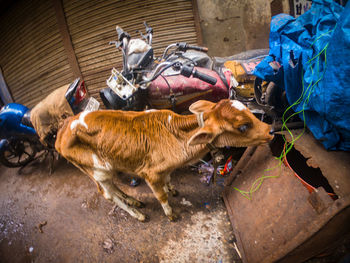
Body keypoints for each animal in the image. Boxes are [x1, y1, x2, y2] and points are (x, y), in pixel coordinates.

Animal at [55, 100, 274, 222]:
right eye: (243, 126)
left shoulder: (165, 169)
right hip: (97, 169)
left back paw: (133, 200)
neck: (176, 135)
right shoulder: (150, 174)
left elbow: (168, 180)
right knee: (107, 194)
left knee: (112, 188)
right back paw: (137, 214)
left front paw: (172, 189)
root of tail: (64, 126)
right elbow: (161, 196)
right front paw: (170, 213)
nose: (270, 130)